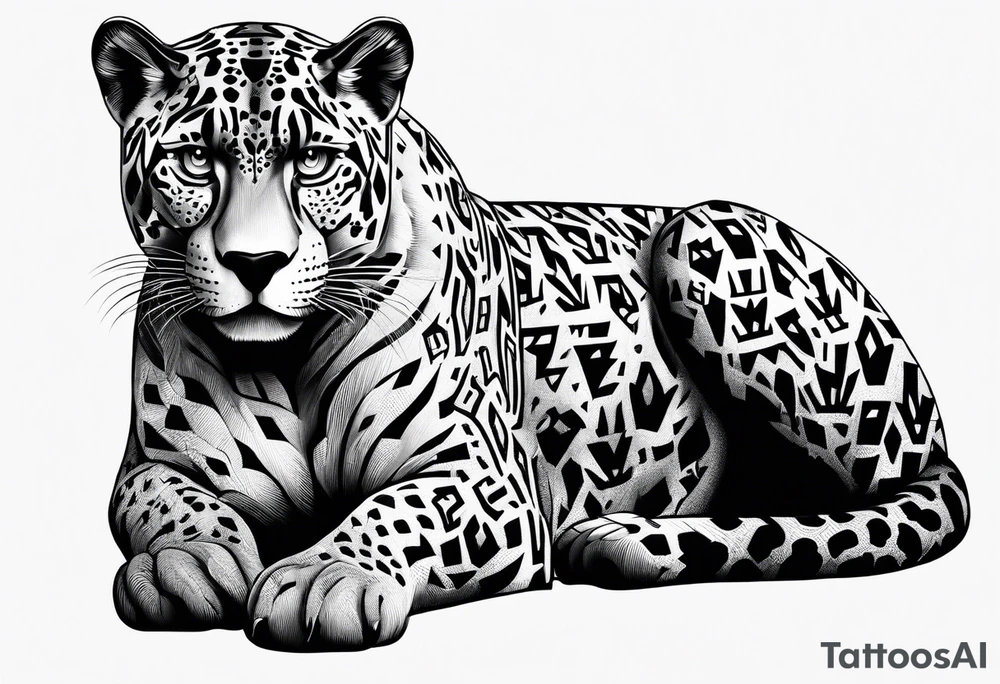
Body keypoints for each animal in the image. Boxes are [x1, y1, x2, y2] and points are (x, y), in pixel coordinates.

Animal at [91, 16, 970, 651]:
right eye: (193, 159)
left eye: (314, 160)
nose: (255, 262)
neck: (286, 358)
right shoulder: (152, 464)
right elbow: (163, 498)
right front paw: (183, 562)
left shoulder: (487, 479)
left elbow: (399, 508)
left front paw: (326, 575)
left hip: (706, 232)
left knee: (883, 503)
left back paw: (618, 538)